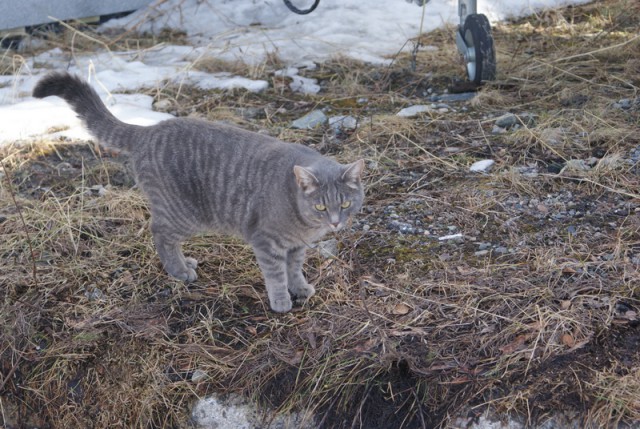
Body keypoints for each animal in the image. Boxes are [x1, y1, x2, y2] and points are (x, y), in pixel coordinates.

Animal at [33, 72, 364, 310]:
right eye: (321, 206)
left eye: (346, 204)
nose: (335, 223)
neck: (302, 222)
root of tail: (148, 130)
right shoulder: (266, 242)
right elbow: (276, 275)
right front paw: (281, 300)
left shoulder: (296, 248)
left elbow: (294, 270)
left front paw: (300, 288)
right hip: (184, 214)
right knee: (160, 234)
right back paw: (179, 271)